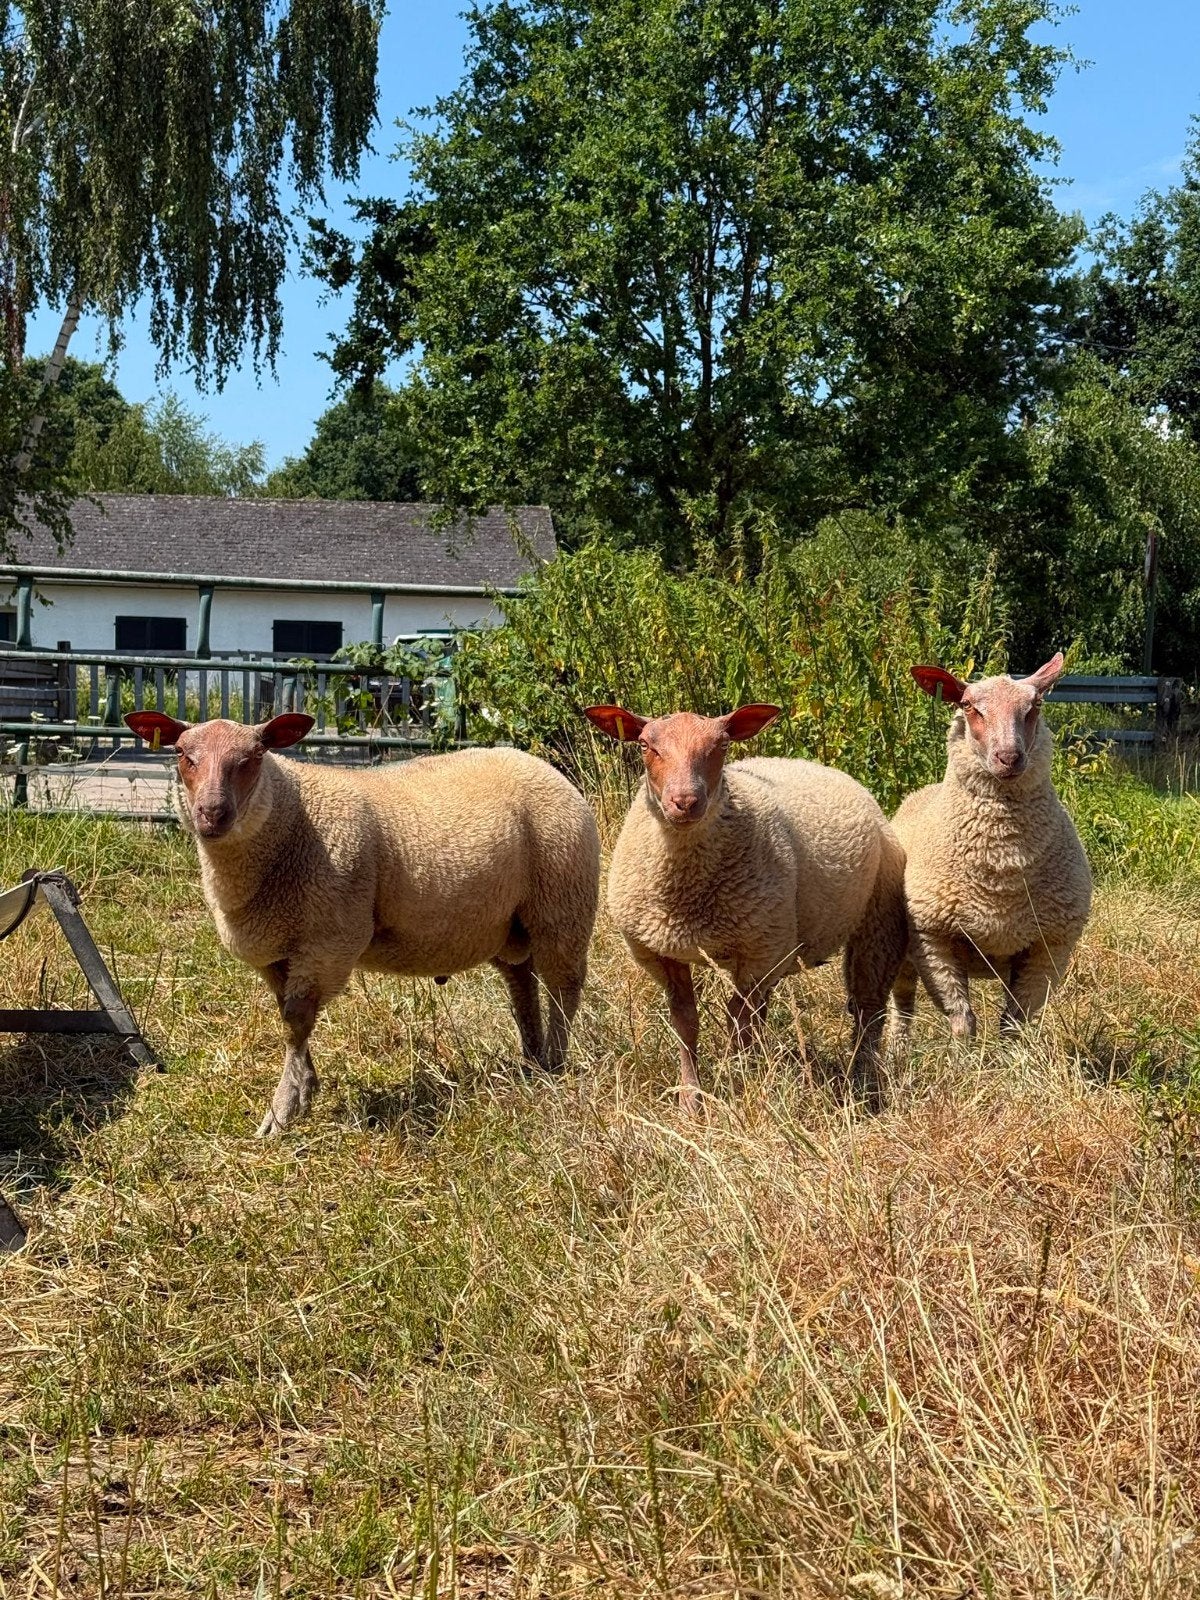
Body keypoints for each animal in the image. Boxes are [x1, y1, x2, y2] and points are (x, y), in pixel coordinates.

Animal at [124, 711, 600, 1134]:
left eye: (254, 756)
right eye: (183, 754)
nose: (212, 813)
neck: (291, 817)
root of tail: (542, 767)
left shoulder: (328, 942)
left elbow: (296, 1021)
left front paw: (282, 1111)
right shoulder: (277, 952)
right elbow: (289, 1019)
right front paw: (304, 1090)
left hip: (563, 905)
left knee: (563, 989)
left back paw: (554, 1066)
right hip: (509, 923)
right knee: (522, 982)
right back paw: (531, 1062)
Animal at [584, 703, 908, 1110]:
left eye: (721, 745)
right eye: (645, 745)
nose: (685, 802)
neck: (686, 891)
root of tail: (812, 765)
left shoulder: (758, 951)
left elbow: (736, 1020)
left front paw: (740, 1084)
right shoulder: (662, 951)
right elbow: (686, 1020)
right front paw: (691, 1100)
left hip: (874, 918)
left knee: (867, 1007)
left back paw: (862, 1082)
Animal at [887, 652, 1092, 1051]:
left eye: (1036, 705)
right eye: (968, 706)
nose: (1009, 757)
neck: (1002, 873)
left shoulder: (1048, 949)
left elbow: (1014, 1024)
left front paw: (1011, 1062)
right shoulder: (934, 940)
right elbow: (962, 1021)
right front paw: (964, 1062)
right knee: (902, 1002)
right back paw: (896, 1051)